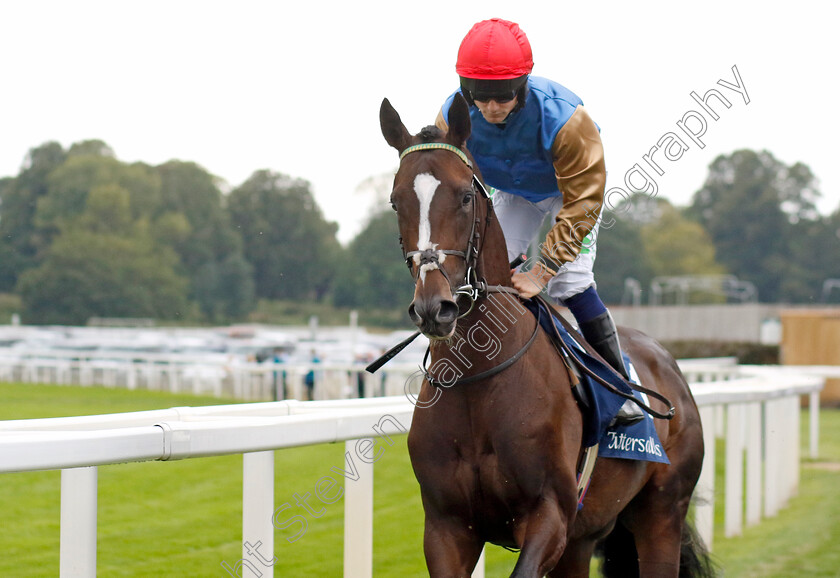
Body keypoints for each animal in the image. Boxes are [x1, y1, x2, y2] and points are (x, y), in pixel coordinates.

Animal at [380, 94, 716, 576]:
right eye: (395, 202)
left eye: (466, 196)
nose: (433, 307)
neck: (477, 378)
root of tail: (669, 365)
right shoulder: (446, 525)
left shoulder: (550, 514)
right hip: (586, 535)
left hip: (662, 512)